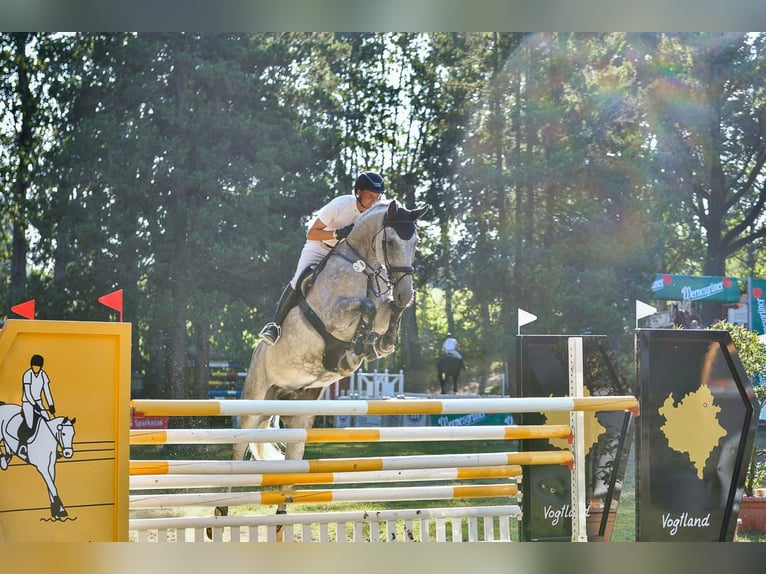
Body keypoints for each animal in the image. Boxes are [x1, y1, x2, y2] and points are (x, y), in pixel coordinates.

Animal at [216, 200, 428, 528]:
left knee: (291, 459)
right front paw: (359, 346)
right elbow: (366, 306)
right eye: (391, 242)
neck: (362, 267)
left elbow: (386, 309)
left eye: (416, 242)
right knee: (238, 448)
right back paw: (222, 511)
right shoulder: (335, 314)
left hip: (298, 414)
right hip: (254, 401)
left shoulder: (382, 310)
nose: (406, 292)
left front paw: (381, 340)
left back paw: (281, 519)